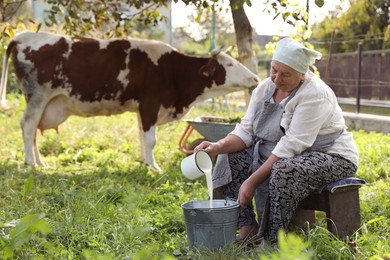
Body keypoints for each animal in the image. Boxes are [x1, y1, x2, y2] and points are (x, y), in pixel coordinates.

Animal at [0, 31, 258, 170]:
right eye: (230, 64)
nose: (255, 77)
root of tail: (22, 36)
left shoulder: (140, 109)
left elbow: (142, 138)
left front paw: (144, 162)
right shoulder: (150, 104)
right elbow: (151, 139)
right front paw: (153, 166)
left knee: (33, 131)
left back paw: (39, 161)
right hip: (37, 96)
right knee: (27, 127)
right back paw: (32, 163)